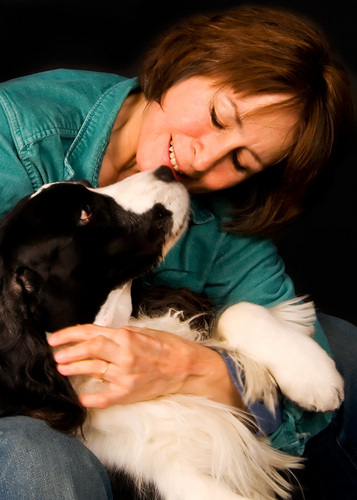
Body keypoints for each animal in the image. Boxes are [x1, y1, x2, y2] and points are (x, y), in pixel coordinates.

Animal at [0, 168, 342, 500]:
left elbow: (238, 311)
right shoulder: (171, 478)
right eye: (85, 213)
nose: (165, 170)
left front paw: (314, 376)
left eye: (87, 184)